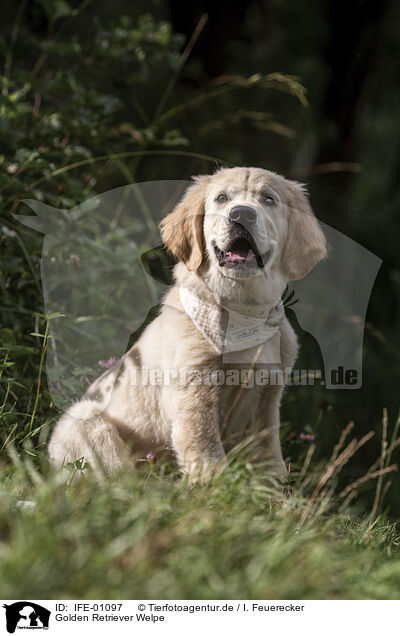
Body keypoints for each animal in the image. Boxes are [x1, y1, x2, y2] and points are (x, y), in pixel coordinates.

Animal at [48, 166, 326, 480]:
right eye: (221, 198)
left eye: (268, 199)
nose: (242, 214)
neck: (243, 312)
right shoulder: (194, 400)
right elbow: (209, 460)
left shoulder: (266, 401)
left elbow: (270, 461)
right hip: (83, 420)